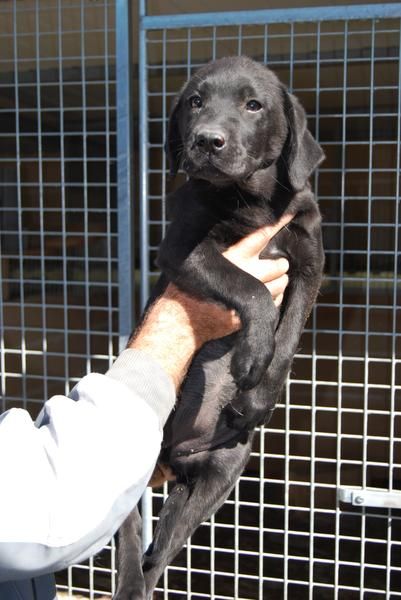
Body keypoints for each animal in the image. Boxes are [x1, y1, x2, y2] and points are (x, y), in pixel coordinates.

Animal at [114, 57, 324, 600]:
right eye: (195, 102)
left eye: (254, 105)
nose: (207, 141)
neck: (249, 198)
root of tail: (170, 455)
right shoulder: (185, 247)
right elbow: (249, 288)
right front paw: (251, 352)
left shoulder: (309, 263)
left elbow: (288, 336)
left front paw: (259, 391)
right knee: (130, 537)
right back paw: (128, 583)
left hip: (219, 472)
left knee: (162, 549)